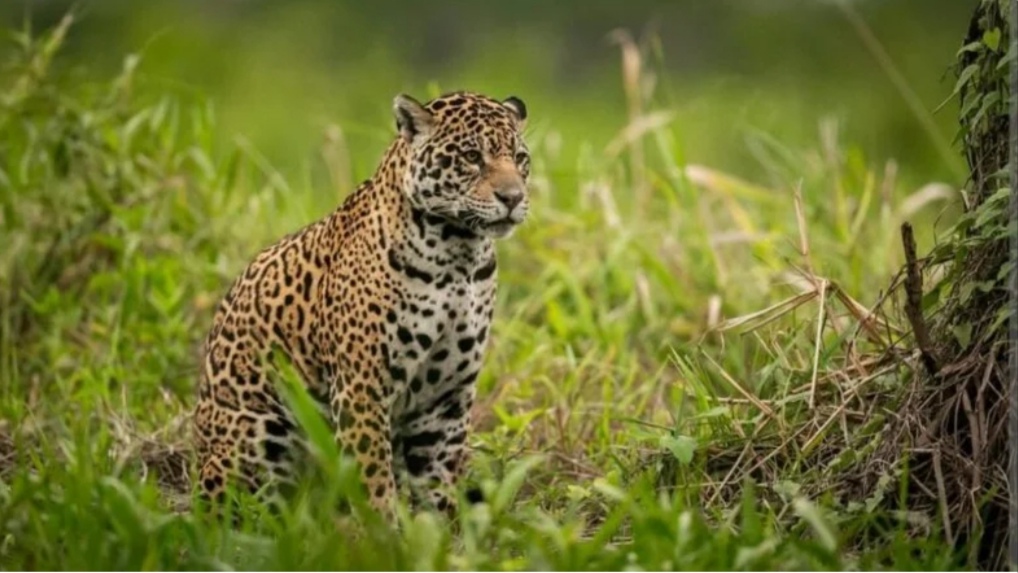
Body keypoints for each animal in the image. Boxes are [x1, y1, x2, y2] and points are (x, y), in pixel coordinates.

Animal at [192, 91, 530, 521]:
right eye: (471, 157)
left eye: (520, 159)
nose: (513, 197)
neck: (459, 255)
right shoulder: (362, 388)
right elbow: (374, 483)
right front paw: (385, 532)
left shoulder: (446, 399)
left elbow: (437, 487)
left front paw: (444, 534)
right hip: (259, 435)